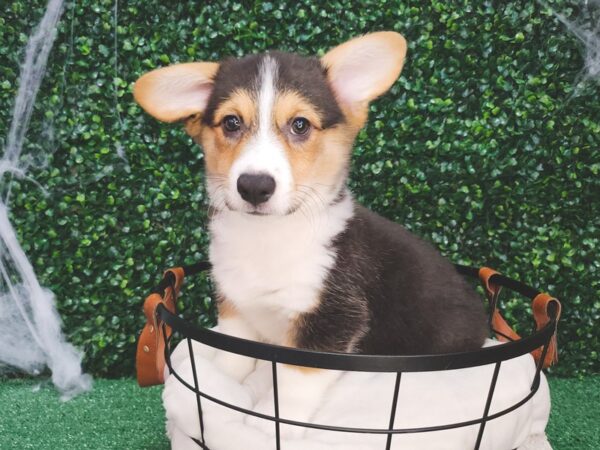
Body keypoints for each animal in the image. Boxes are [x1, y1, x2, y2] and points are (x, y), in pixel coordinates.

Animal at [135, 31, 488, 432]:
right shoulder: (237, 311)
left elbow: (293, 384)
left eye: (300, 125)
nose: (254, 186)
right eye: (231, 123)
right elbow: (230, 360)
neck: (267, 236)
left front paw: (267, 425)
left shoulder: (330, 321)